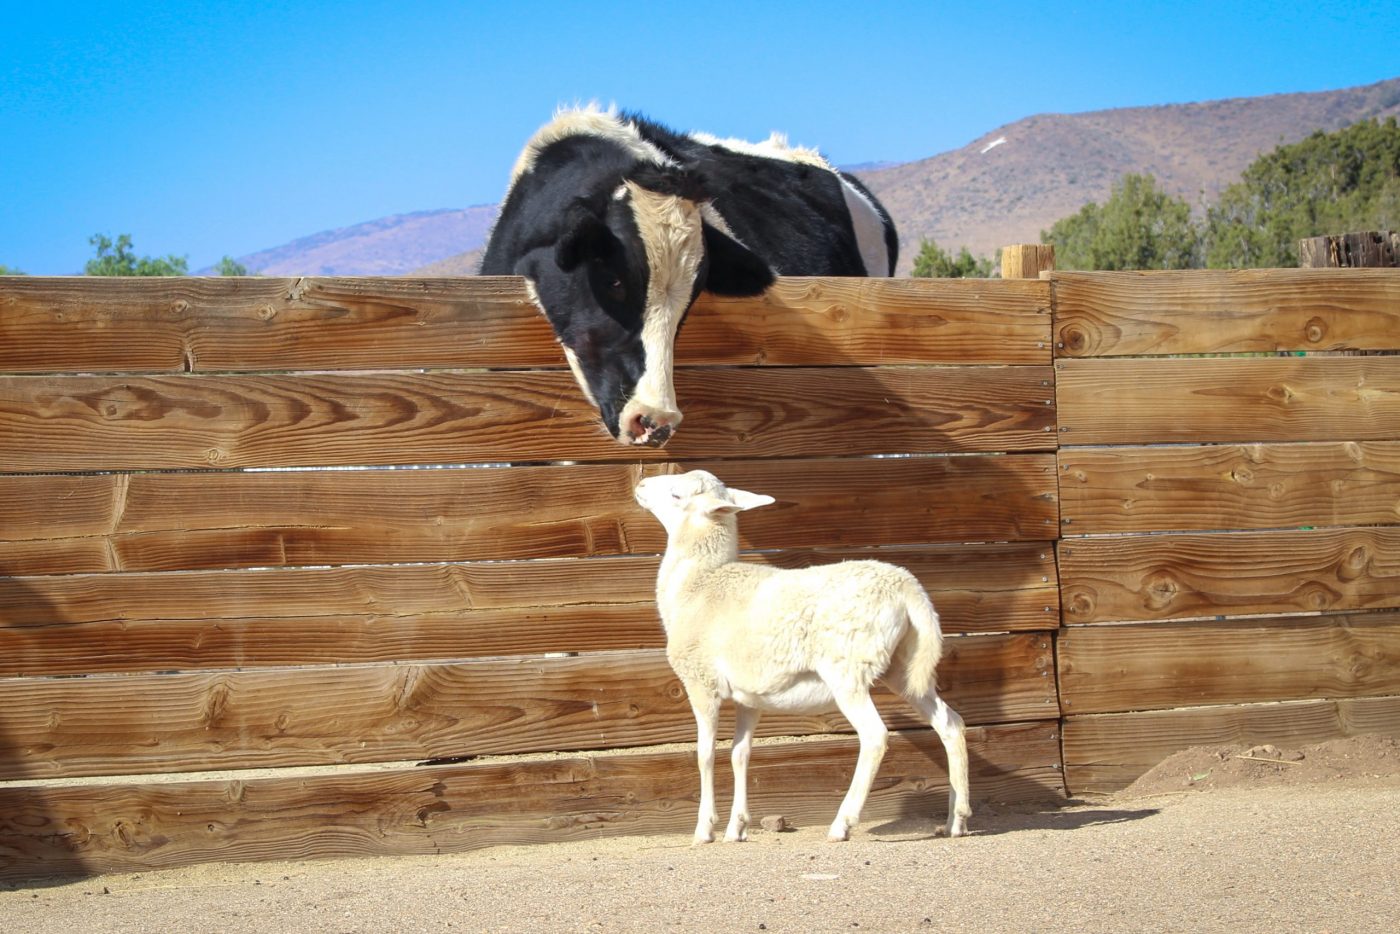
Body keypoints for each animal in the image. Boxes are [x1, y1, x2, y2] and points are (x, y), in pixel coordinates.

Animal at [638, 470, 974, 845]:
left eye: (676, 494)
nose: (640, 485)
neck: (700, 584)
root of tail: (907, 588)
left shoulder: (701, 682)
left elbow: (705, 755)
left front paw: (705, 828)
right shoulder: (748, 697)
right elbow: (741, 754)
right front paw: (737, 827)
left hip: (847, 670)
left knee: (875, 736)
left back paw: (843, 823)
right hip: (906, 667)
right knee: (950, 724)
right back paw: (957, 819)